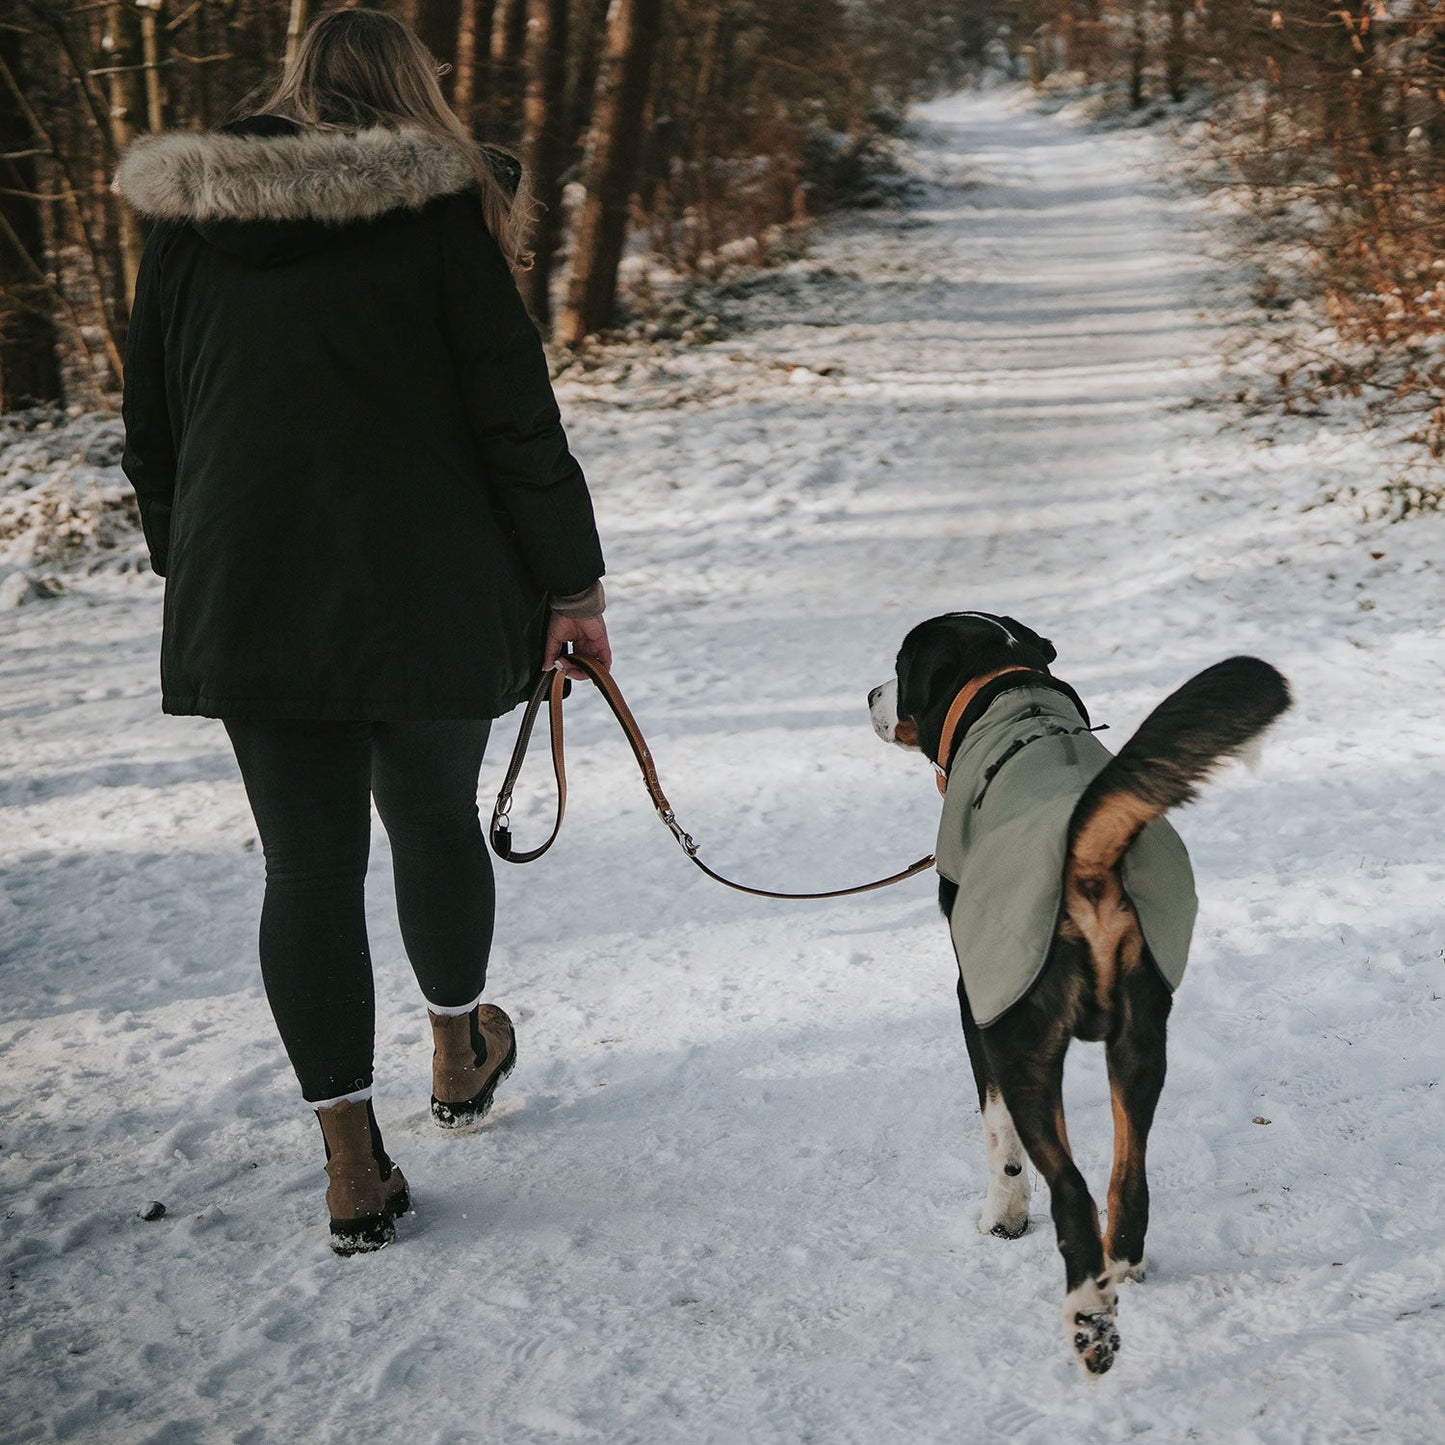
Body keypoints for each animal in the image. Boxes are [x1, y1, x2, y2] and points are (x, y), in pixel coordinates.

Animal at [861, 612, 1294, 1375]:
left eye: (899, 664)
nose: (868, 696)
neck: (1008, 696)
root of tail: (1085, 851)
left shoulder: (976, 1001)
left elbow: (997, 1135)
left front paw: (1002, 1217)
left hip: (1025, 1044)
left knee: (1072, 1195)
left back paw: (1089, 1320)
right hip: (1140, 1041)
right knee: (1127, 1183)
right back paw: (1118, 1272)